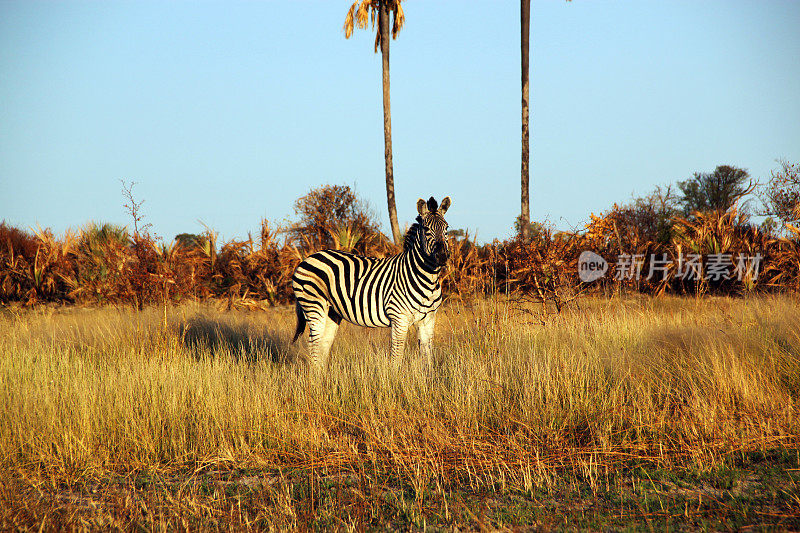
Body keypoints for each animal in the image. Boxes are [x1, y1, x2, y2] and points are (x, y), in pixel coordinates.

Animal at [292, 195, 456, 370]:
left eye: (446, 228)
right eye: (426, 229)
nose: (442, 256)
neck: (427, 279)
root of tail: (308, 258)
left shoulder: (428, 319)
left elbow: (427, 357)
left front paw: (427, 377)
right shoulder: (399, 318)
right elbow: (397, 357)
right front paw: (395, 377)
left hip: (331, 312)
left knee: (324, 343)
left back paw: (322, 375)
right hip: (313, 306)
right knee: (313, 344)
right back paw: (315, 376)